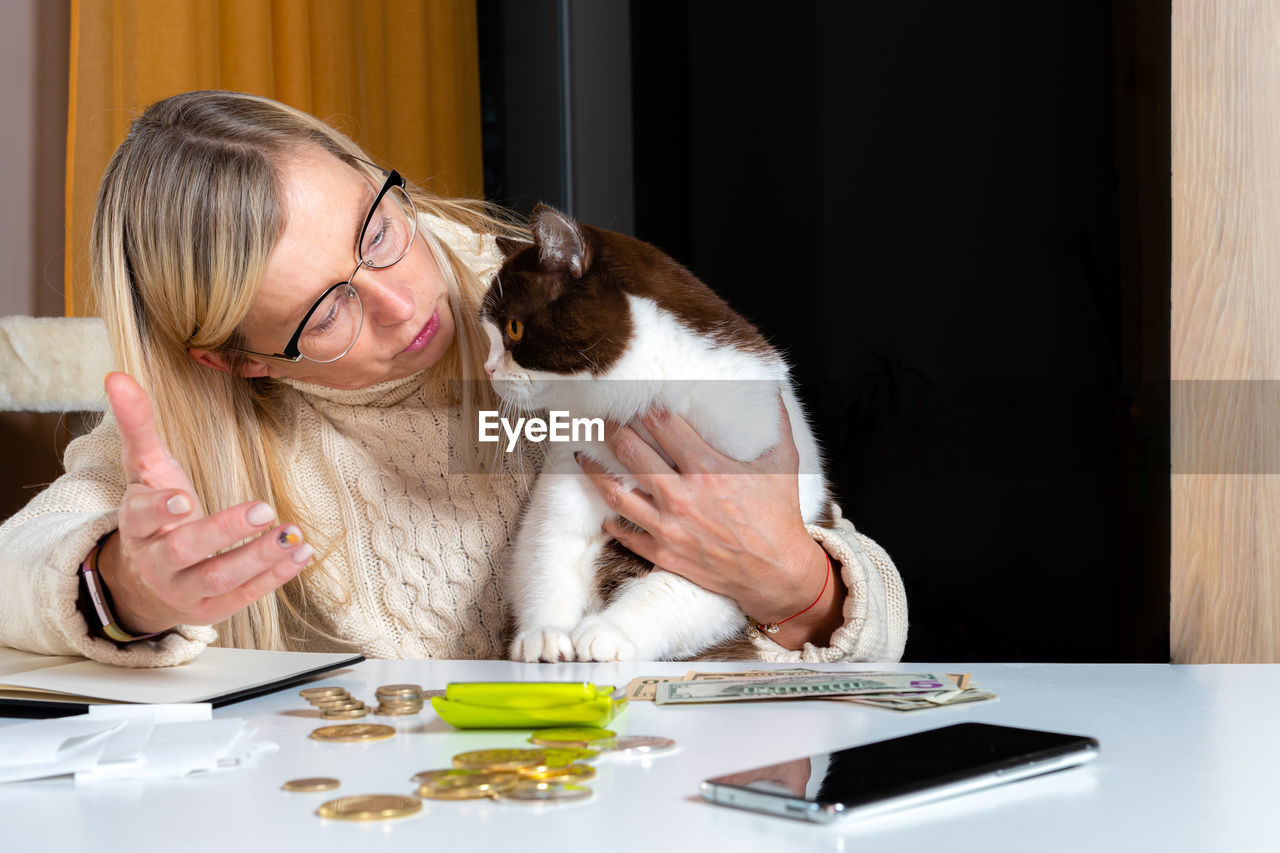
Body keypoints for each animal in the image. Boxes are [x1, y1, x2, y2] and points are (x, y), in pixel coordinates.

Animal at [481, 207, 829, 666]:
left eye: (515, 329)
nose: (487, 369)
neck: (643, 393)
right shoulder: (572, 462)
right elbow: (546, 549)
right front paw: (544, 635)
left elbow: (681, 586)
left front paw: (609, 632)